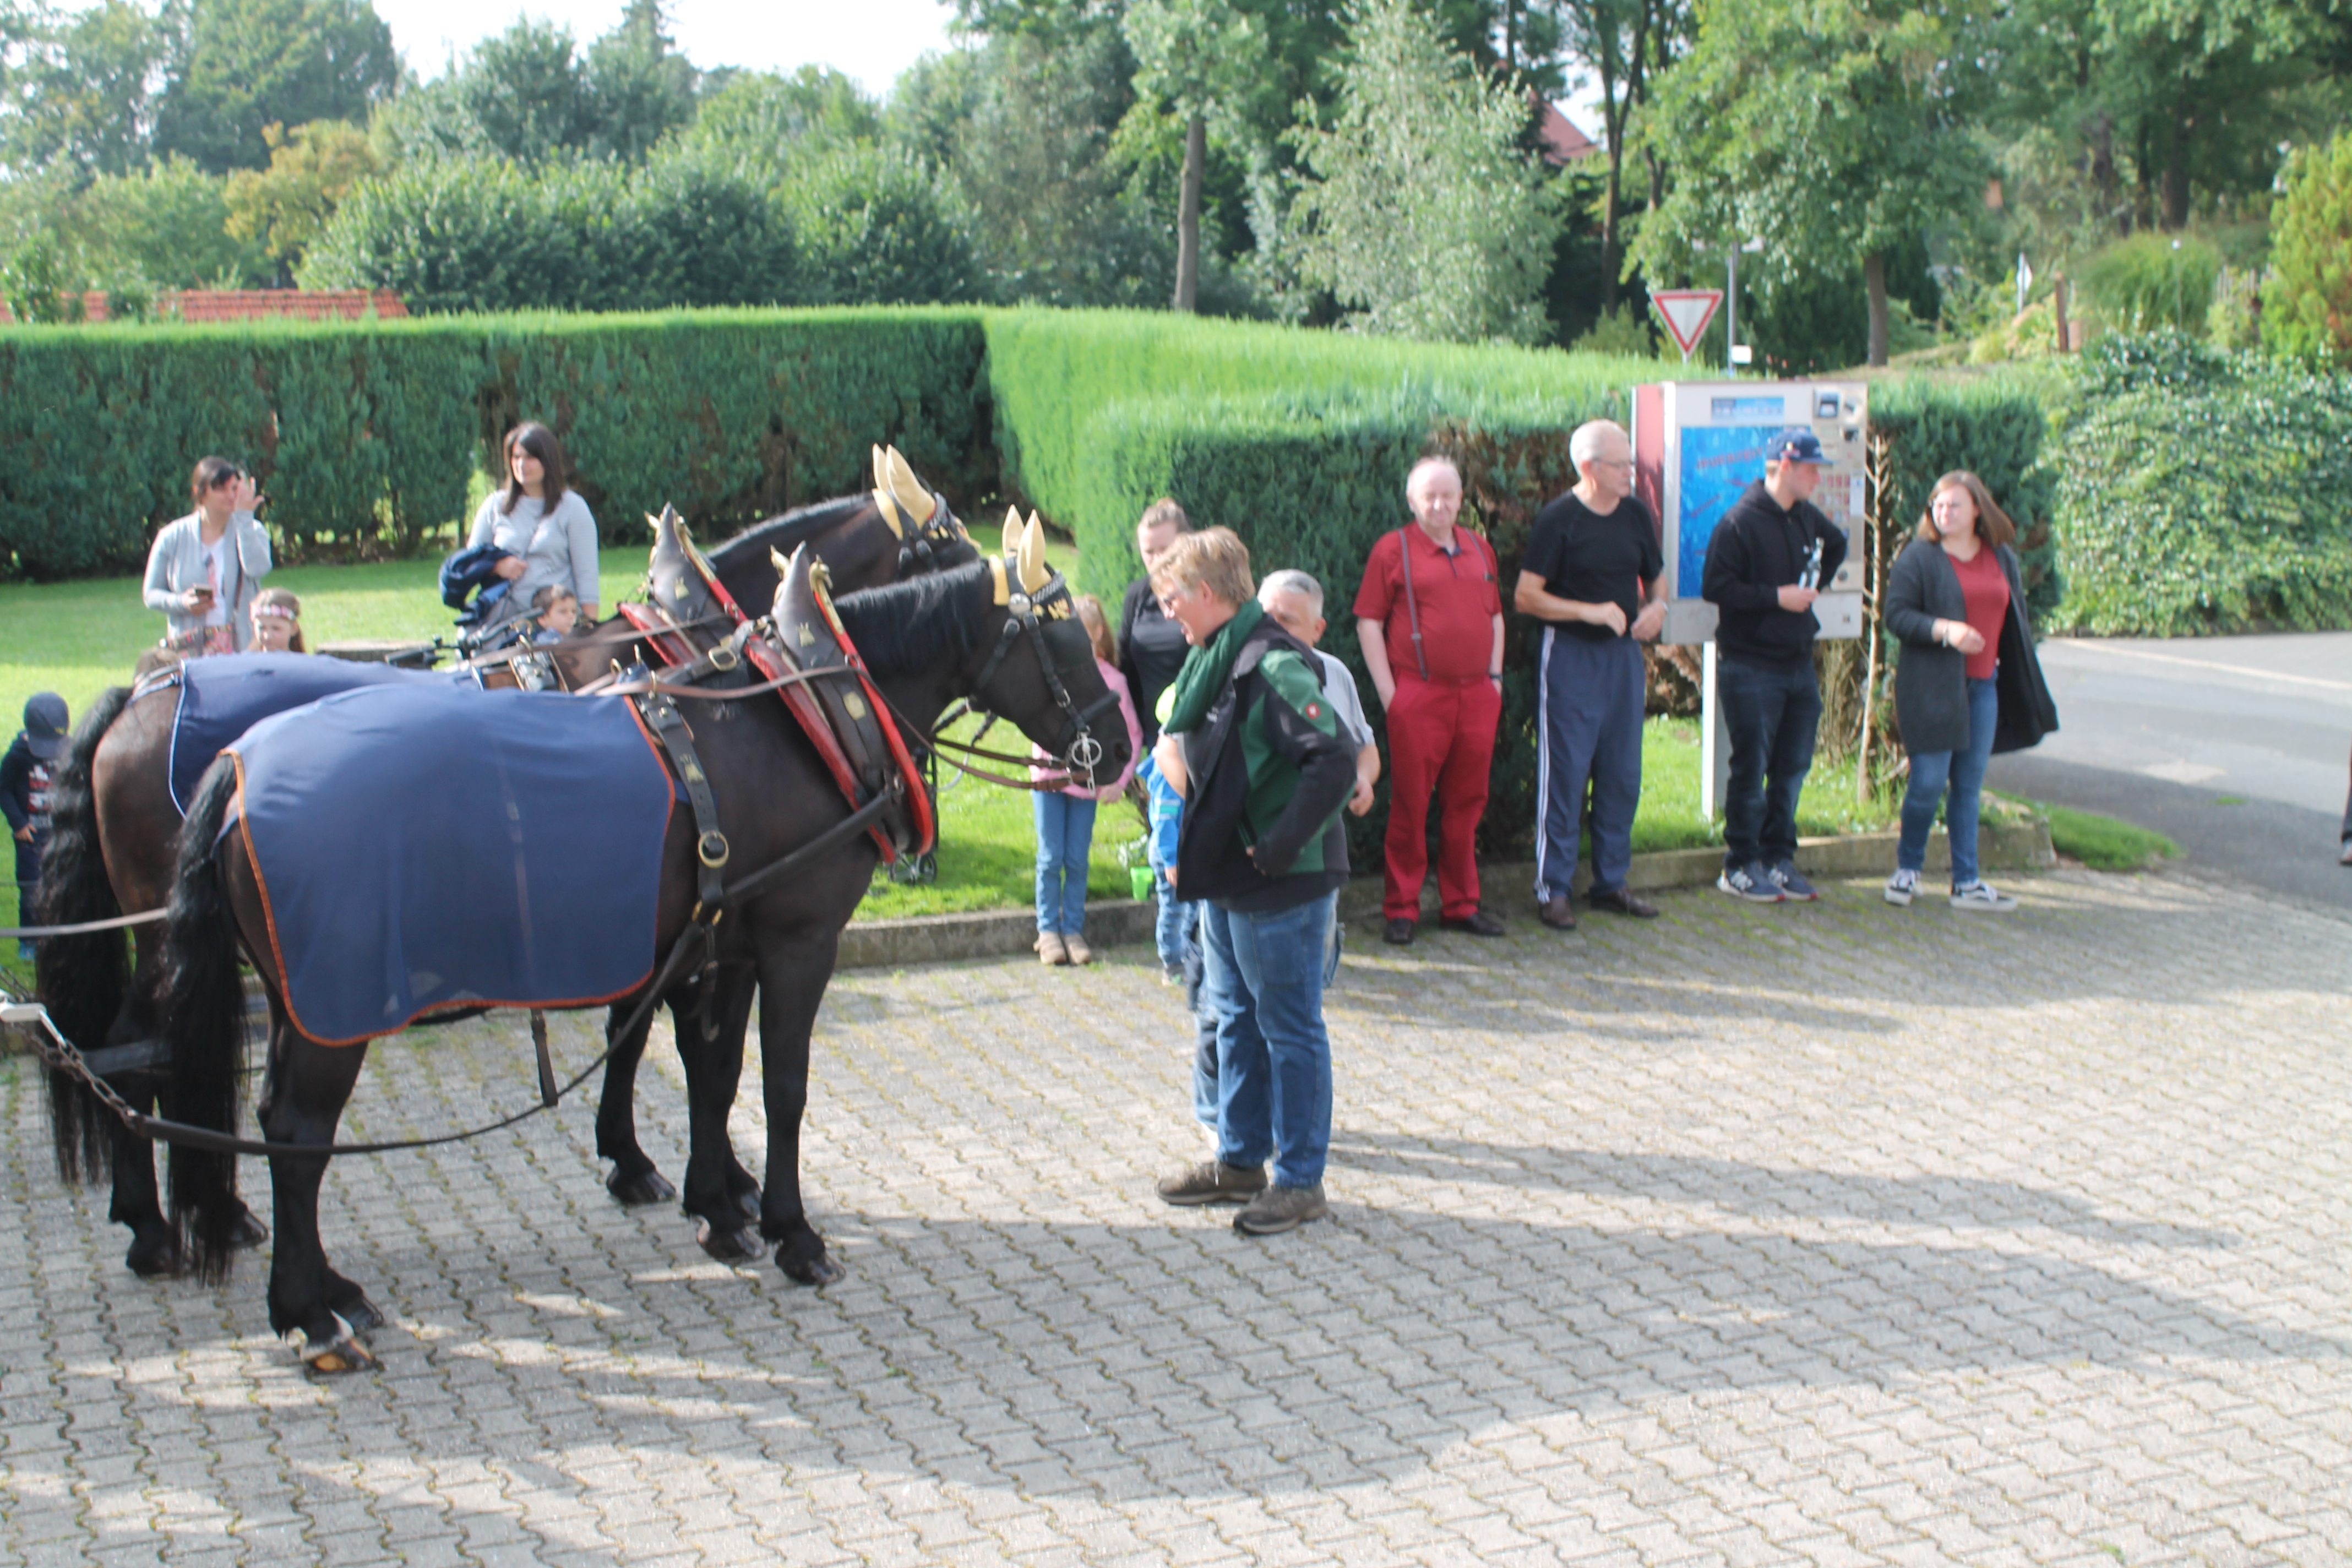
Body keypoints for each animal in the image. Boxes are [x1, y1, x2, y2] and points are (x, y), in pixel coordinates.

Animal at [37, 468, 975, 1277]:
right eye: (951, 543)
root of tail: (135, 697)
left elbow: (656, 1033)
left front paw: (677, 1173)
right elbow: (666, 1035)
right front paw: (695, 1179)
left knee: (137, 1045)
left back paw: (186, 1217)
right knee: (151, 1051)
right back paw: (175, 1225)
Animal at [155, 535, 1124, 1370]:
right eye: (1067, 640)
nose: (1116, 744)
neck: (802, 715)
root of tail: (236, 770)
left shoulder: (726, 942)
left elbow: (714, 1074)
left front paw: (719, 1208)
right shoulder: (798, 941)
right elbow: (781, 1087)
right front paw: (792, 1232)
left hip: (302, 1000)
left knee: (280, 1125)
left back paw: (329, 1291)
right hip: (338, 1003)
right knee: (299, 1133)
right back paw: (309, 1312)